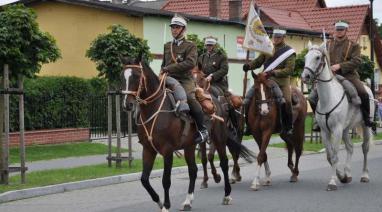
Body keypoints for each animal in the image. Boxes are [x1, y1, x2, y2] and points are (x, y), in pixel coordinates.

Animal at [302, 41, 374, 190]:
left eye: (318, 57)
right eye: (305, 57)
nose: (305, 77)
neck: (328, 98)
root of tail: (367, 87)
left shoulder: (336, 130)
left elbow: (335, 156)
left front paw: (332, 182)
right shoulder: (325, 131)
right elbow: (330, 156)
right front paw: (342, 176)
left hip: (365, 126)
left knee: (365, 148)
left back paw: (364, 175)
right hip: (346, 129)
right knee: (350, 147)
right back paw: (348, 173)